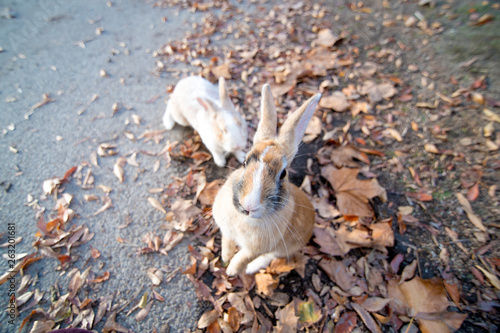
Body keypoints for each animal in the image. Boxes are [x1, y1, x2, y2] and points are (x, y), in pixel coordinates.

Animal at [211, 83, 320, 274]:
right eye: (244, 162)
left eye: (283, 174)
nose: (249, 206)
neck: (246, 218)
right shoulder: (227, 230)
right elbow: (227, 240)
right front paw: (225, 256)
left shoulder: (255, 249)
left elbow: (243, 257)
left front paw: (231, 271)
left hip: (284, 248)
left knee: (270, 257)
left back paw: (250, 269)